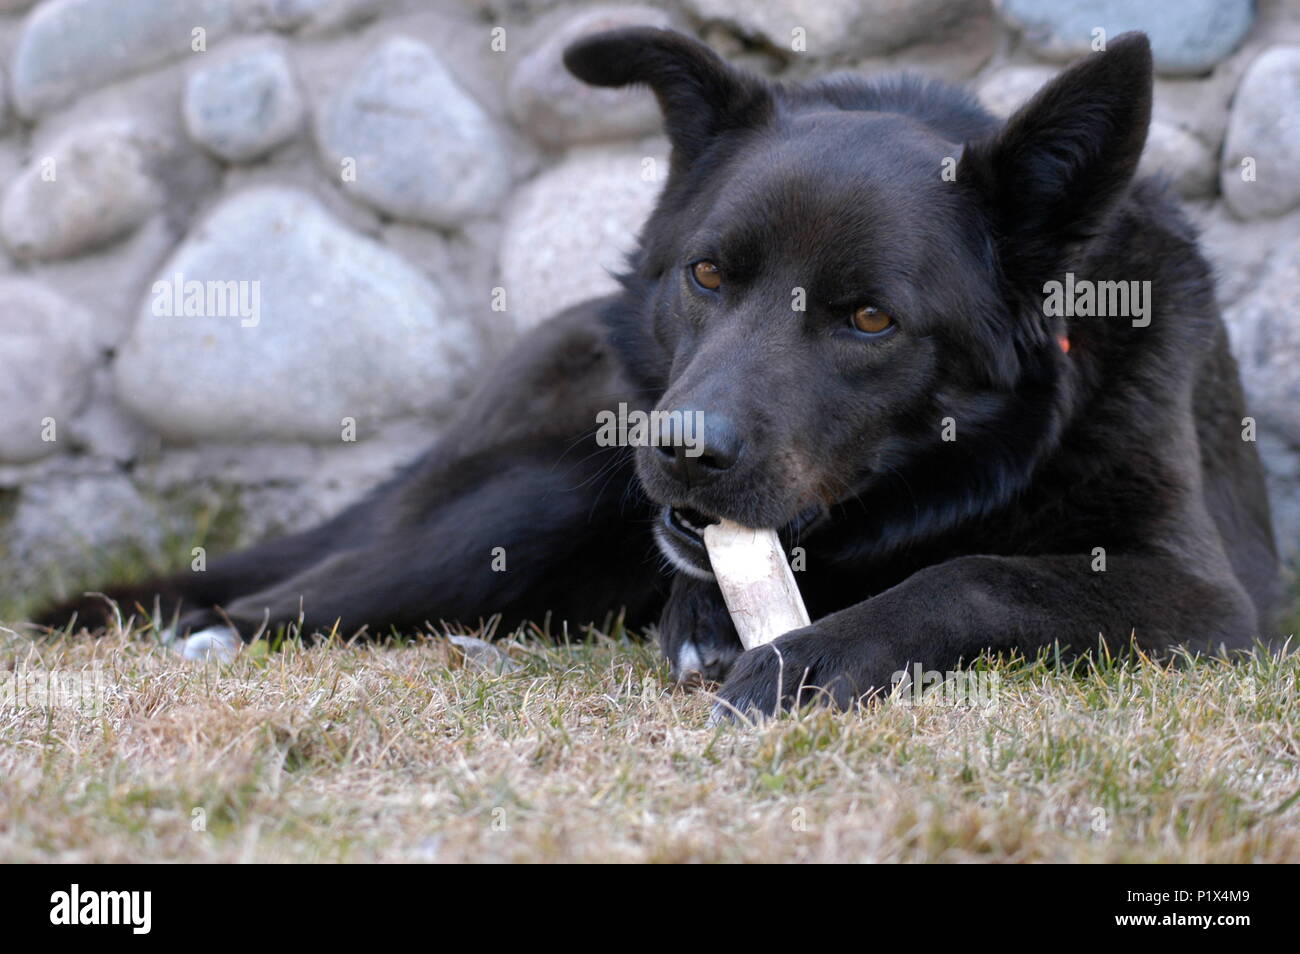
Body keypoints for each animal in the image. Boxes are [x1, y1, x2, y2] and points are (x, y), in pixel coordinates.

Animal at [40, 27, 1279, 717]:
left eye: (870, 319)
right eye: (708, 272)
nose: (682, 451)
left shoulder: (1209, 598)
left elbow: (981, 574)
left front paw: (807, 661)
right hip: (535, 488)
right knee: (273, 602)